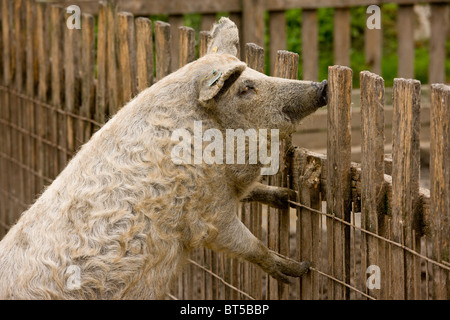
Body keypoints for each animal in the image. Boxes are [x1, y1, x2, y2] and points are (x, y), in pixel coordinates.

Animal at [0, 16, 326, 298]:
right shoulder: (207, 214)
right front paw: (299, 270)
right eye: (246, 88)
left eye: (257, 74)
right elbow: (249, 244)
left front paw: (287, 195)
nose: (322, 87)